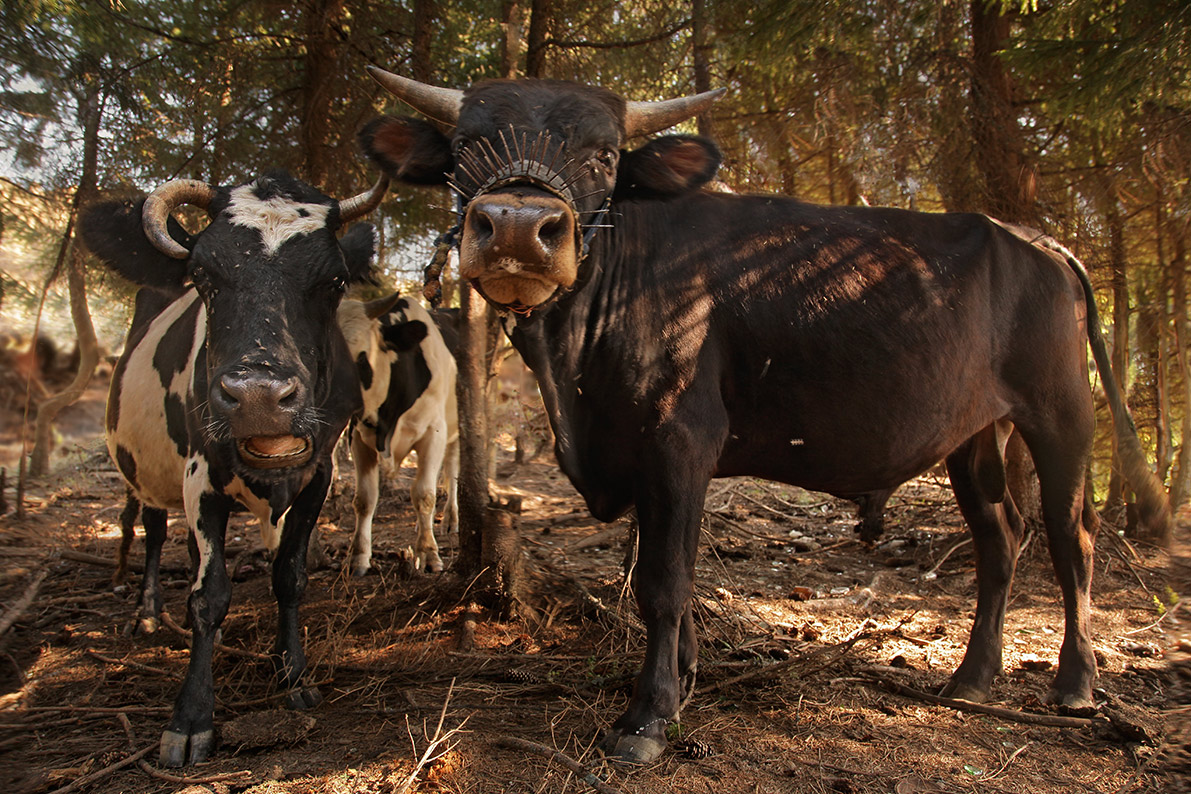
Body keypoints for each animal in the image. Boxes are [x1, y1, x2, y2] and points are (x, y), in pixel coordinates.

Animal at [80, 171, 385, 766]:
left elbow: (289, 575)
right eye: (203, 274)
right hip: (148, 474)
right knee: (154, 532)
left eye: (335, 279)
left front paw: (293, 676)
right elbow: (210, 593)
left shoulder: (317, 473)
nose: (260, 396)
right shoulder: (201, 474)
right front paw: (191, 716)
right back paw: (148, 610)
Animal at [343, 291, 462, 571]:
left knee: (451, 471)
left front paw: (428, 553)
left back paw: (450, 519)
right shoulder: (358, 438)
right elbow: (364, 499)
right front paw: (359, 555)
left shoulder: (434, 433)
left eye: (361, 357)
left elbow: (424, 494)